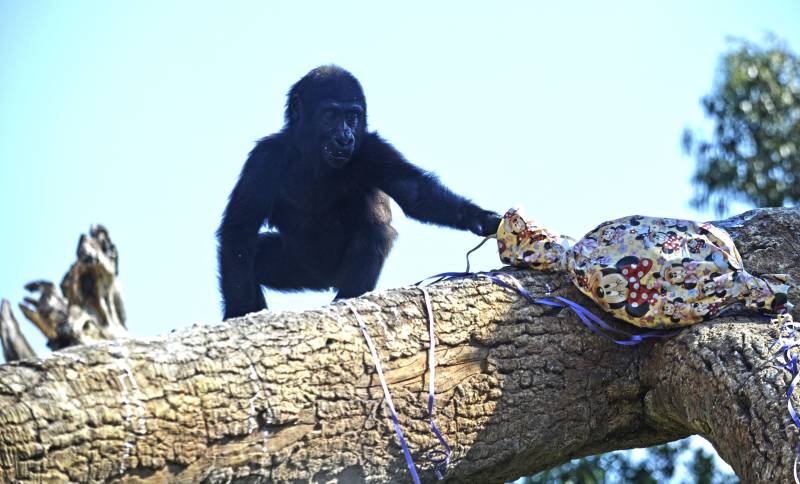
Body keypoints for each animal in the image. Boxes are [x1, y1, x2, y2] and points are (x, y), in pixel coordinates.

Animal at [219, 66, 500, 320]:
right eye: (330, 115)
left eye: (353, 116)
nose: (345, 137)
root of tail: (325, 281)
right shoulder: (264, 159)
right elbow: (240, 231)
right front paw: (240, 311)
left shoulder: (372, 150)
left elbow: (415, 193)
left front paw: (481, 218)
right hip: (298, 268)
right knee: (253, 260)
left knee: (375, 234)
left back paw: (347, 299)